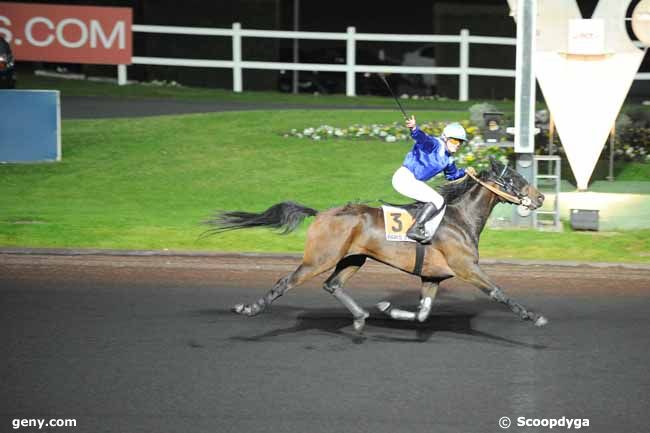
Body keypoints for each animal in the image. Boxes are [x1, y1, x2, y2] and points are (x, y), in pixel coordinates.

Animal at [204, 158, 548, 330]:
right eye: (514, 179)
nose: (541, 197)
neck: (459, 218)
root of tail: (321, 214)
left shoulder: (432, 276)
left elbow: (422, 313)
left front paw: (388, 309)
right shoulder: (466, 268)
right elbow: (499, 292)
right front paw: (533, 316)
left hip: (354, 258)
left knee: (333, 285)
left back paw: (360, 316)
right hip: (319, 259)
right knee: (284, 282)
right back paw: (250, 308)